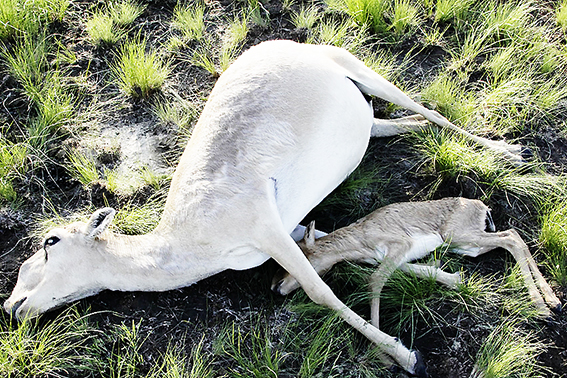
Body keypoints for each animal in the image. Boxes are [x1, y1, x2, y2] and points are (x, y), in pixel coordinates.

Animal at [3, 39, 528, 376]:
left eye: (50, 241)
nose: (12, 306)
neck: (188, 240)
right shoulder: (294, 230)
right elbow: (354, 254)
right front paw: (451, 279)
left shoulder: (268, 228)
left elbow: (321, 290)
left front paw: (406, 356)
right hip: (365, 113)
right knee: (400, 124)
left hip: (359, 68)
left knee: (429, 108)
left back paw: (508, 150)